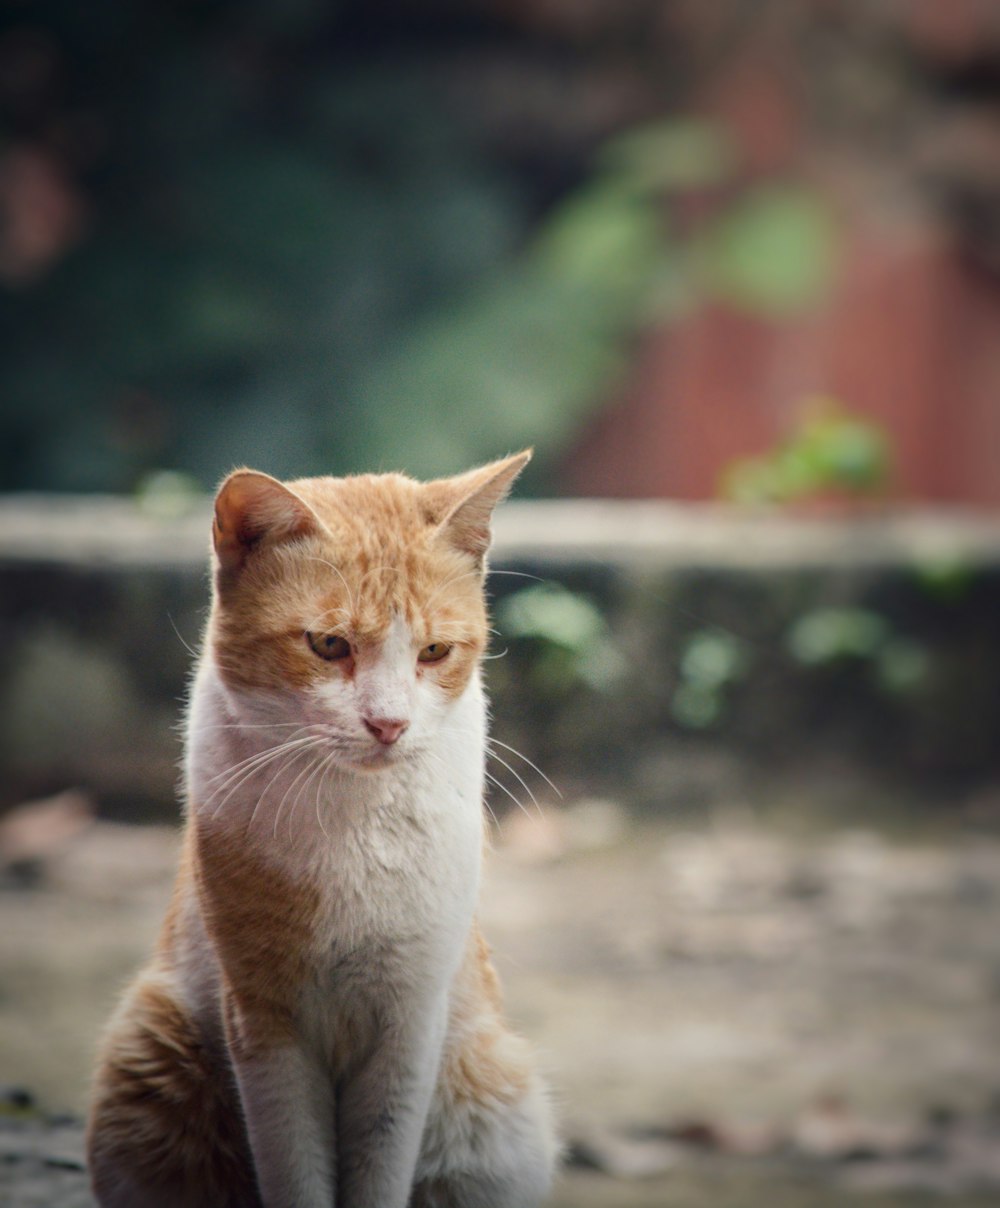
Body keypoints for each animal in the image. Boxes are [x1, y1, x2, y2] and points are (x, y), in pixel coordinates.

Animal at [85, 454, 555, 1208]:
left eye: (434, 651)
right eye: (329, 645)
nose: (389, 724)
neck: (354, 817)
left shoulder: (409, 1022)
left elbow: (379, 1168)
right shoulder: (265, 1022)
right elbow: (295, 1171)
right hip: (147, 1056)